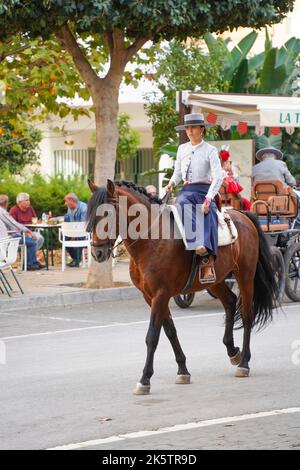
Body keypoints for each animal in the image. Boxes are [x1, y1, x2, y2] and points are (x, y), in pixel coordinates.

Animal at [85, 180, 278, 396]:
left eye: (107, 214)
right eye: (91, 213)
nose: (97, 253)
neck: (152, 240)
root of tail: (242, 214)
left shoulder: (160, 295)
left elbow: (152, 336)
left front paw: (145, 379)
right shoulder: (151, 296)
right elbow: (170, 331)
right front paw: (183, 370)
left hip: (245, 275)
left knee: (246, 314)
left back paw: (244, 362)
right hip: (215, 280)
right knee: (230, 301)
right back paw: (233, 351)